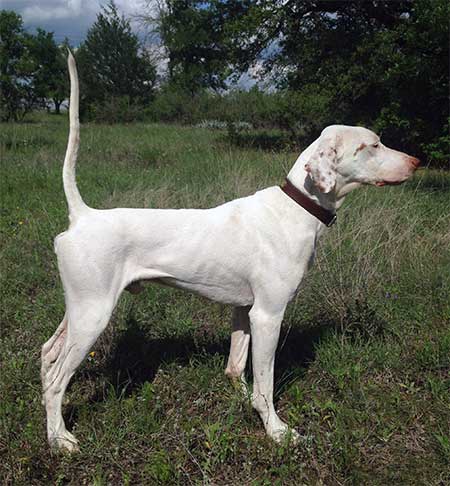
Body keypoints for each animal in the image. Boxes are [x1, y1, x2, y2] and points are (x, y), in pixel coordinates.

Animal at [41, 51, 418, 450]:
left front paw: (245, 403)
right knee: (55, 382)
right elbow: (266, 385)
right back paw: (59, 440)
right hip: (93, 315)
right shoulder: (268, 315)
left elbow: (236, 368)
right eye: (372, 145)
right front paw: (276, 430)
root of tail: (82, 214)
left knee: (47, 356)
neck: (295, 208)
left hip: (78, 310)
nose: (416, 161)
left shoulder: (243, 311)